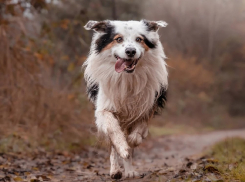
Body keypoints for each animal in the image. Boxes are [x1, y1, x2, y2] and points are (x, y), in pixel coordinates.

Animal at [83, 19, 167, 179]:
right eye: (118, 39)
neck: (127, 78)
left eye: (139, 39)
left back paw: (129, 171)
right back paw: (116, 170)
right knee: (112, 145)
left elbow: (138, 133)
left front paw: (131, 142)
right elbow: (113, 131)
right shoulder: (104, 109)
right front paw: (123, 147)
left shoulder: (147, 107)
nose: (130, 51)